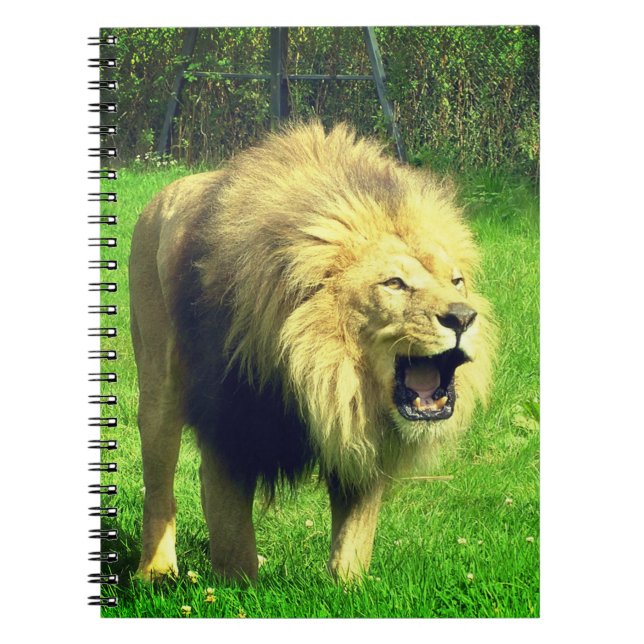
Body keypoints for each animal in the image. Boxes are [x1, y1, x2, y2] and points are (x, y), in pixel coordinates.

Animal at [129, 122, 496, 583]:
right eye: (394, 283)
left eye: (456, 281)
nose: (463, 317)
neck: (324, 370)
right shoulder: (231, 423)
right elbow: (232, 531)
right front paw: (239, 588)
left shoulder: (360, 433)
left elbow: (354, 539)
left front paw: (347, 587)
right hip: (157, 387)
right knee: (159, 484)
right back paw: (156, 570)